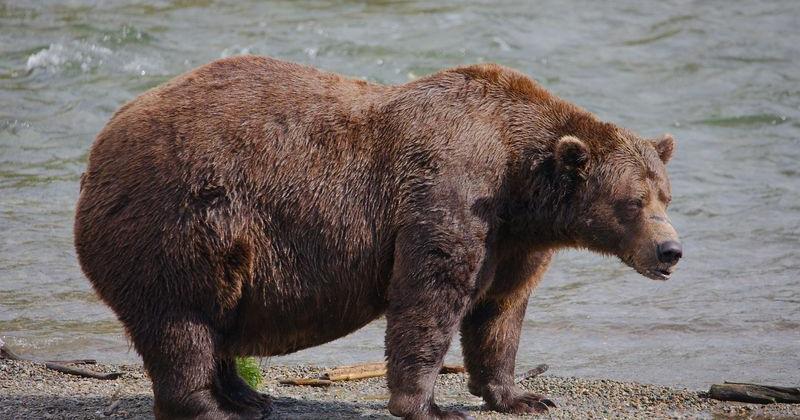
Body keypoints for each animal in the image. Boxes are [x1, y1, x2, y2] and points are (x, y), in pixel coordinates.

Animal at [74, 55, 682, 419]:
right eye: (633, 202)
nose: (671, 250)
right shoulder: (449, 193)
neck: (518, 182)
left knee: (217, 320)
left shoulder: (514, 241)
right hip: (180, 220)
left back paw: (249, 395)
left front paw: (522, 395)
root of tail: (98, 149)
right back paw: (212, 405)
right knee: (183, 321)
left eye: (665, 195)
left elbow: (500, 313)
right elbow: (429, 297)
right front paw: (429, 405)